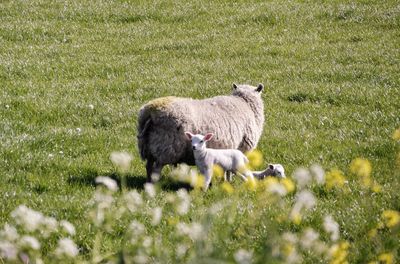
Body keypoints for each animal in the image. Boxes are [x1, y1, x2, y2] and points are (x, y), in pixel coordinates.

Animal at [138, 83, 266, 183]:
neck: (244, 102)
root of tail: (150, 111)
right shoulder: (241, 148)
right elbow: (230, 169)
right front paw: (229, 181)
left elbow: (227, 168)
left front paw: (226, 180)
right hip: (165, 148)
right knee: (156, 169)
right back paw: (155, 184)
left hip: (149, 146)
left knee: (148, 166)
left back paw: (148, 183)